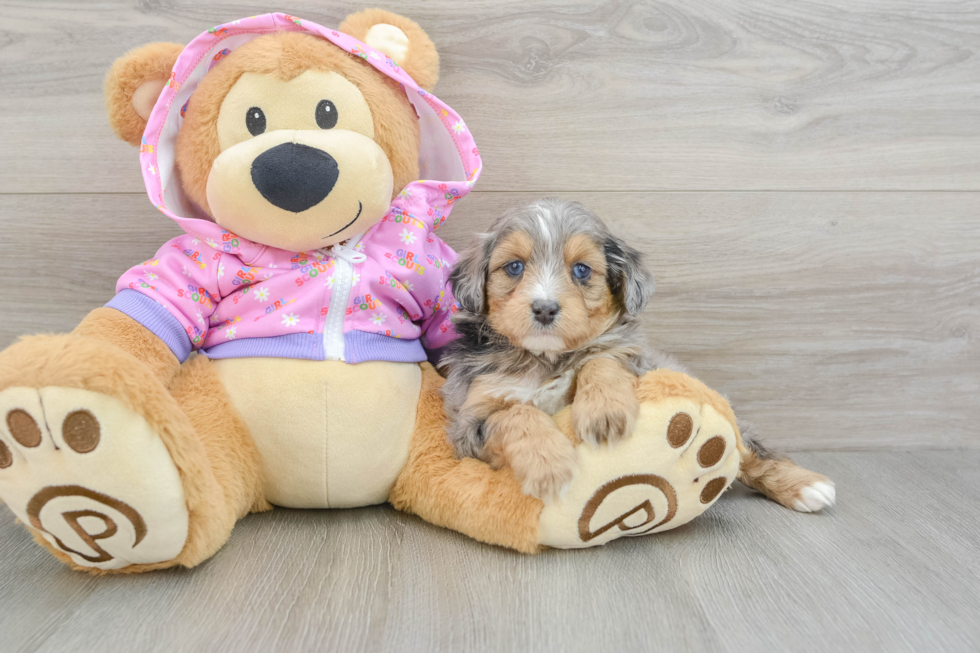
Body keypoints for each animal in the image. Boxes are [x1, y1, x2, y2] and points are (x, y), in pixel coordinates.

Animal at [444, 199, 836, 516]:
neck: (547, 359)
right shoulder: (469, 423)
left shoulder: (637, 363)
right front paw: (549, 465)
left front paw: (604, 411)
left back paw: (807, 486)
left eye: (581, 270)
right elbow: (516, 413)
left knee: (751, 450)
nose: (544, 308)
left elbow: (601, 359)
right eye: (513, 267)